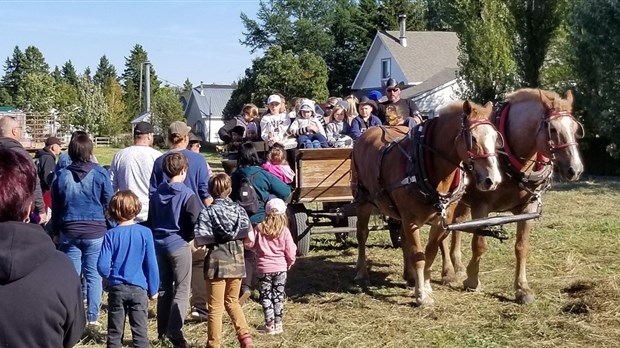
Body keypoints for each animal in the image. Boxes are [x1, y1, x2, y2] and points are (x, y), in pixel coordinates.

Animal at [348, 100, 504, 308]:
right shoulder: (411, 220)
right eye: (472, 137)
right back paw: (361, 272)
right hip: (363, 202)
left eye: (495, 137)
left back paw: (409, 276)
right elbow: (418, 255)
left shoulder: (440, 219)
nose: (492, 180)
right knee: (362, 235)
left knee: (403, 239)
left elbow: (429, 253)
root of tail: (369, 132)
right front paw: (421, 296)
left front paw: (425, 287)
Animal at [424, 87, 584, 304]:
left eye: (575, 128)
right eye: (552, 129)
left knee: (456, 226)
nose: (575, 169)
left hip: (461, 202)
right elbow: (479, 244)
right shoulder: (481, 206)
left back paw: (457, 266)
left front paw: (522, 288)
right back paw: (448, 272)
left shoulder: (528, 208)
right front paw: (472, 280)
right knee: (444, 234)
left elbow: (521, 247)